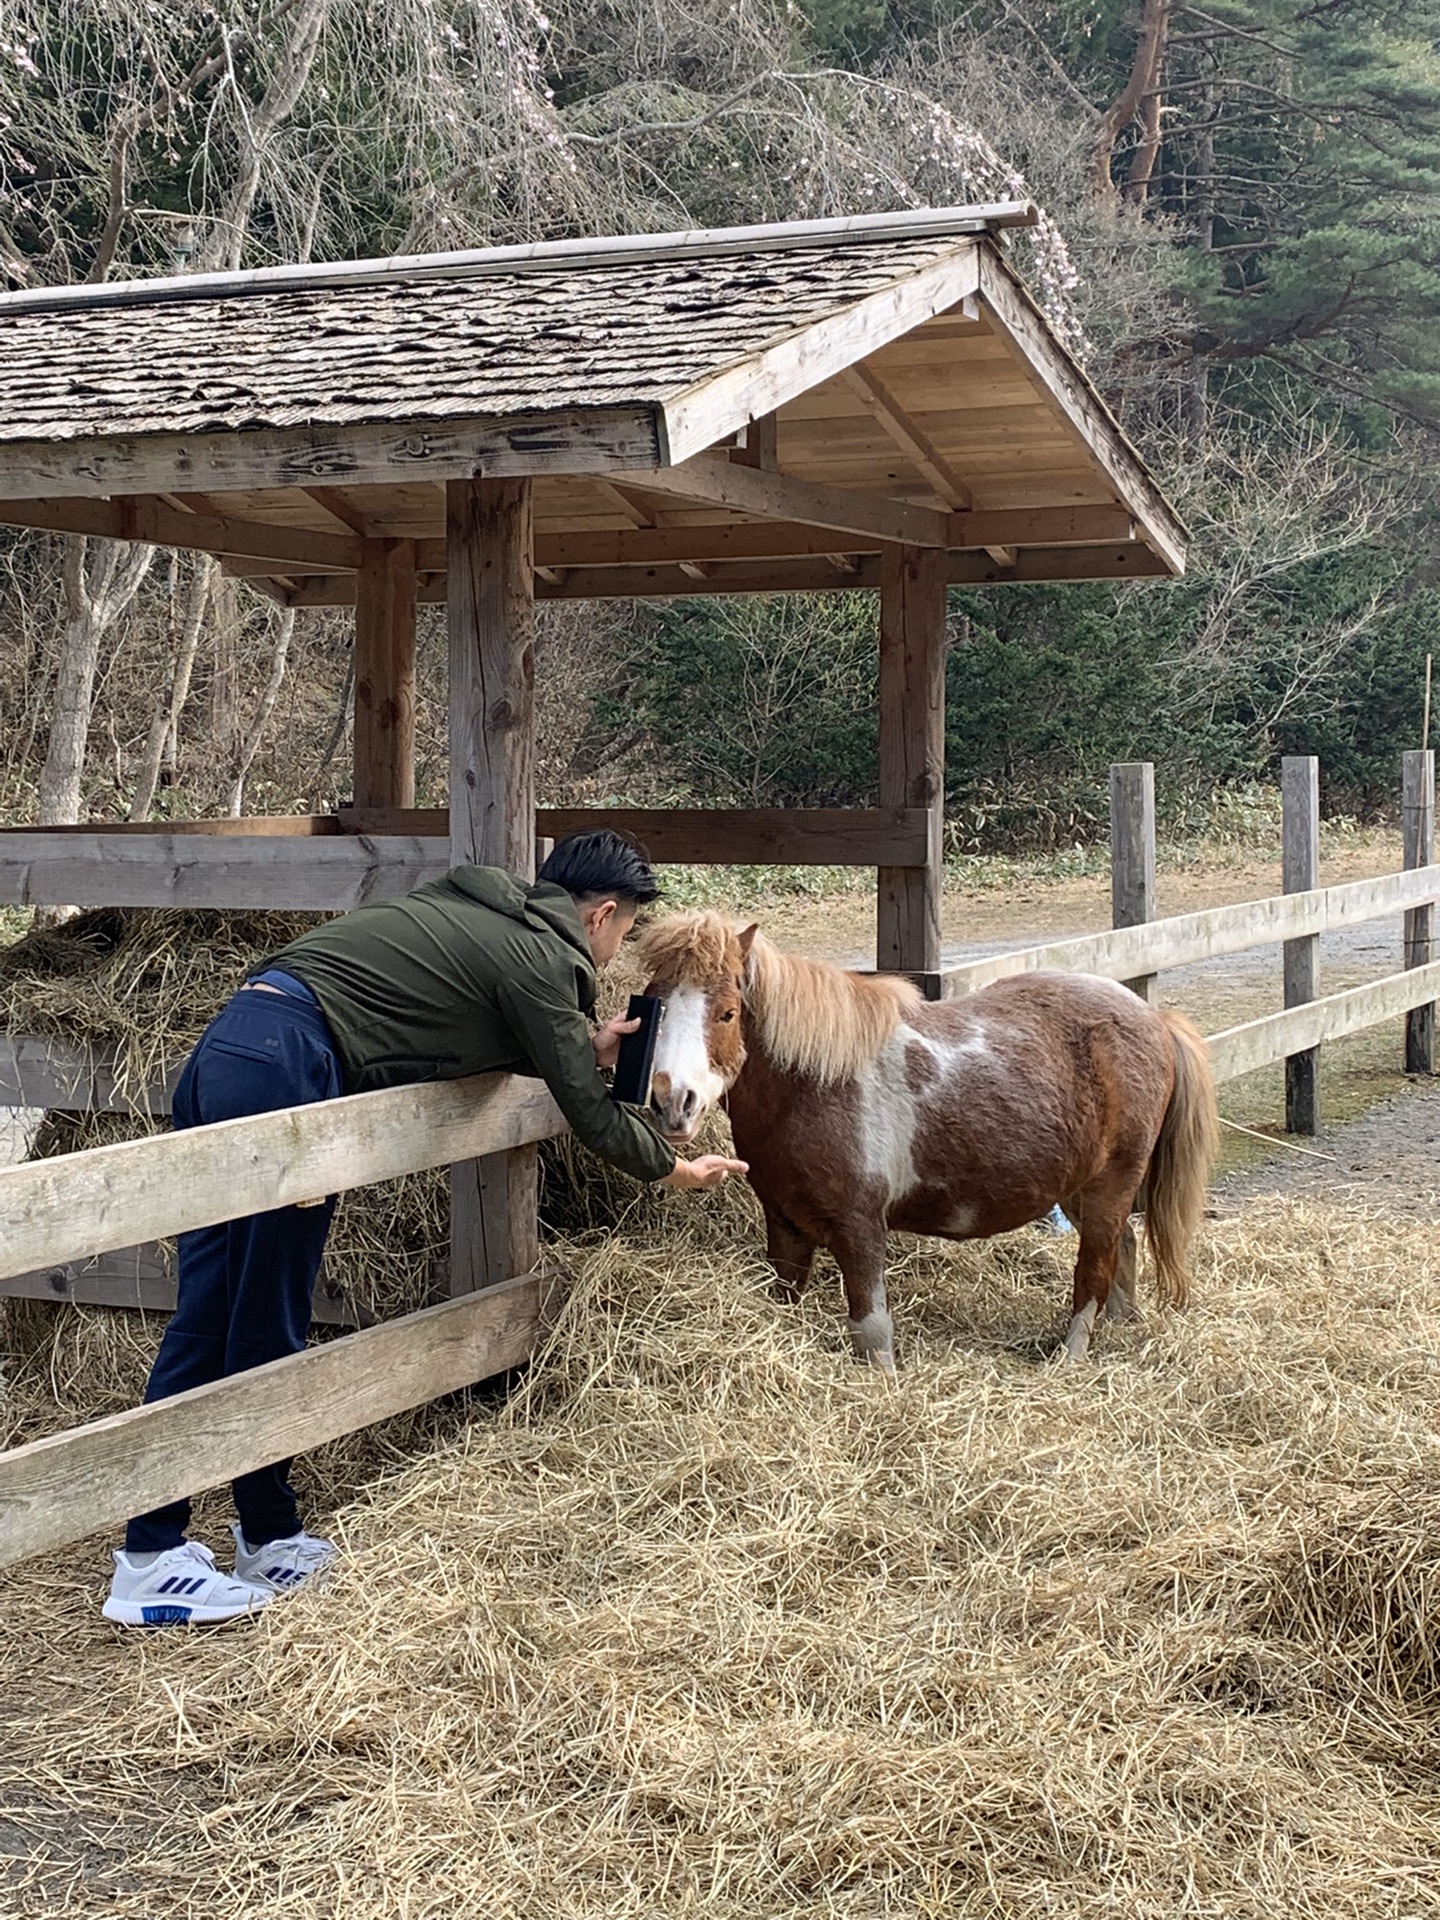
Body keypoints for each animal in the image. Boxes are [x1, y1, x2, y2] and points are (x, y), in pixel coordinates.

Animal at [641, 913, 1221, 1367]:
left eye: (727, 1013)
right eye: (653, 1005)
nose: (672, 1102)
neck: (817, 1085)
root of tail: (1155, 1019)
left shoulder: (860, 1229)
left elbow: (872, 1332)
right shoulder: (785, 1226)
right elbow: (784, 1299)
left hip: (1109, 1186)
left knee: (1094, 1273)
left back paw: (1071, 1358)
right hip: (1079, 1190)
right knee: (1124, 1248)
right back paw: (1122, 1328)